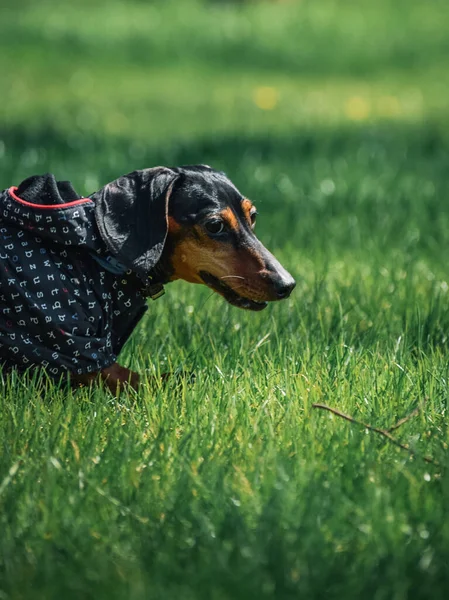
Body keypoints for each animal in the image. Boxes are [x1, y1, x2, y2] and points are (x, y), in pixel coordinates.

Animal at [0, 166, 294, 392]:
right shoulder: (73, 352)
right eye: (214, 225)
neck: (100, 256)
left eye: (252, 216)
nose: (287, 285)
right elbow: (147, 379)